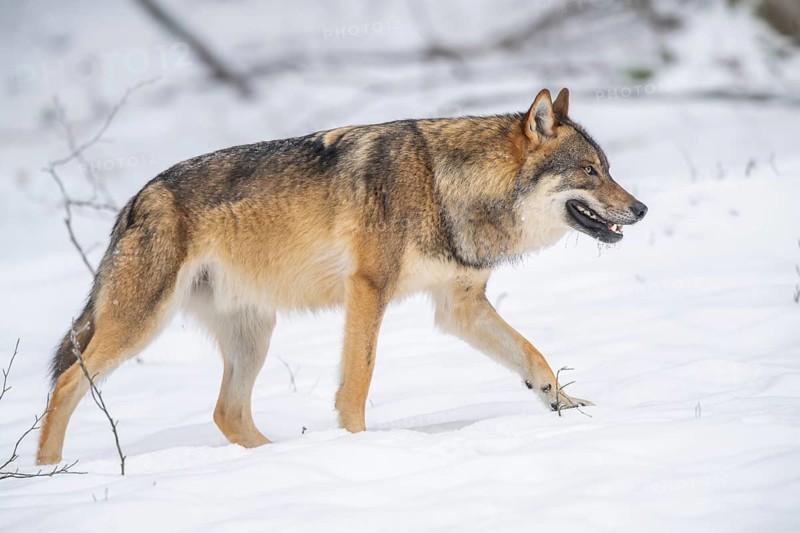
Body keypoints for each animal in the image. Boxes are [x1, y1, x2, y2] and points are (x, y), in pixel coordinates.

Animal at [37, 88, 647, 464]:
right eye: (589, 171)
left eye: (609, 169)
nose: (640, 208)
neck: (445, 185)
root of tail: (134, 201)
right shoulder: (368, 290)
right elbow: (358, 380)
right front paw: (357, 446)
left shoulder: (460, 308)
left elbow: (533, 355)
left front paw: (563, 405)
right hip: (141, 324)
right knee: (66, 384)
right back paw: (46, 472)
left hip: (253, 335)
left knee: (227, 412)